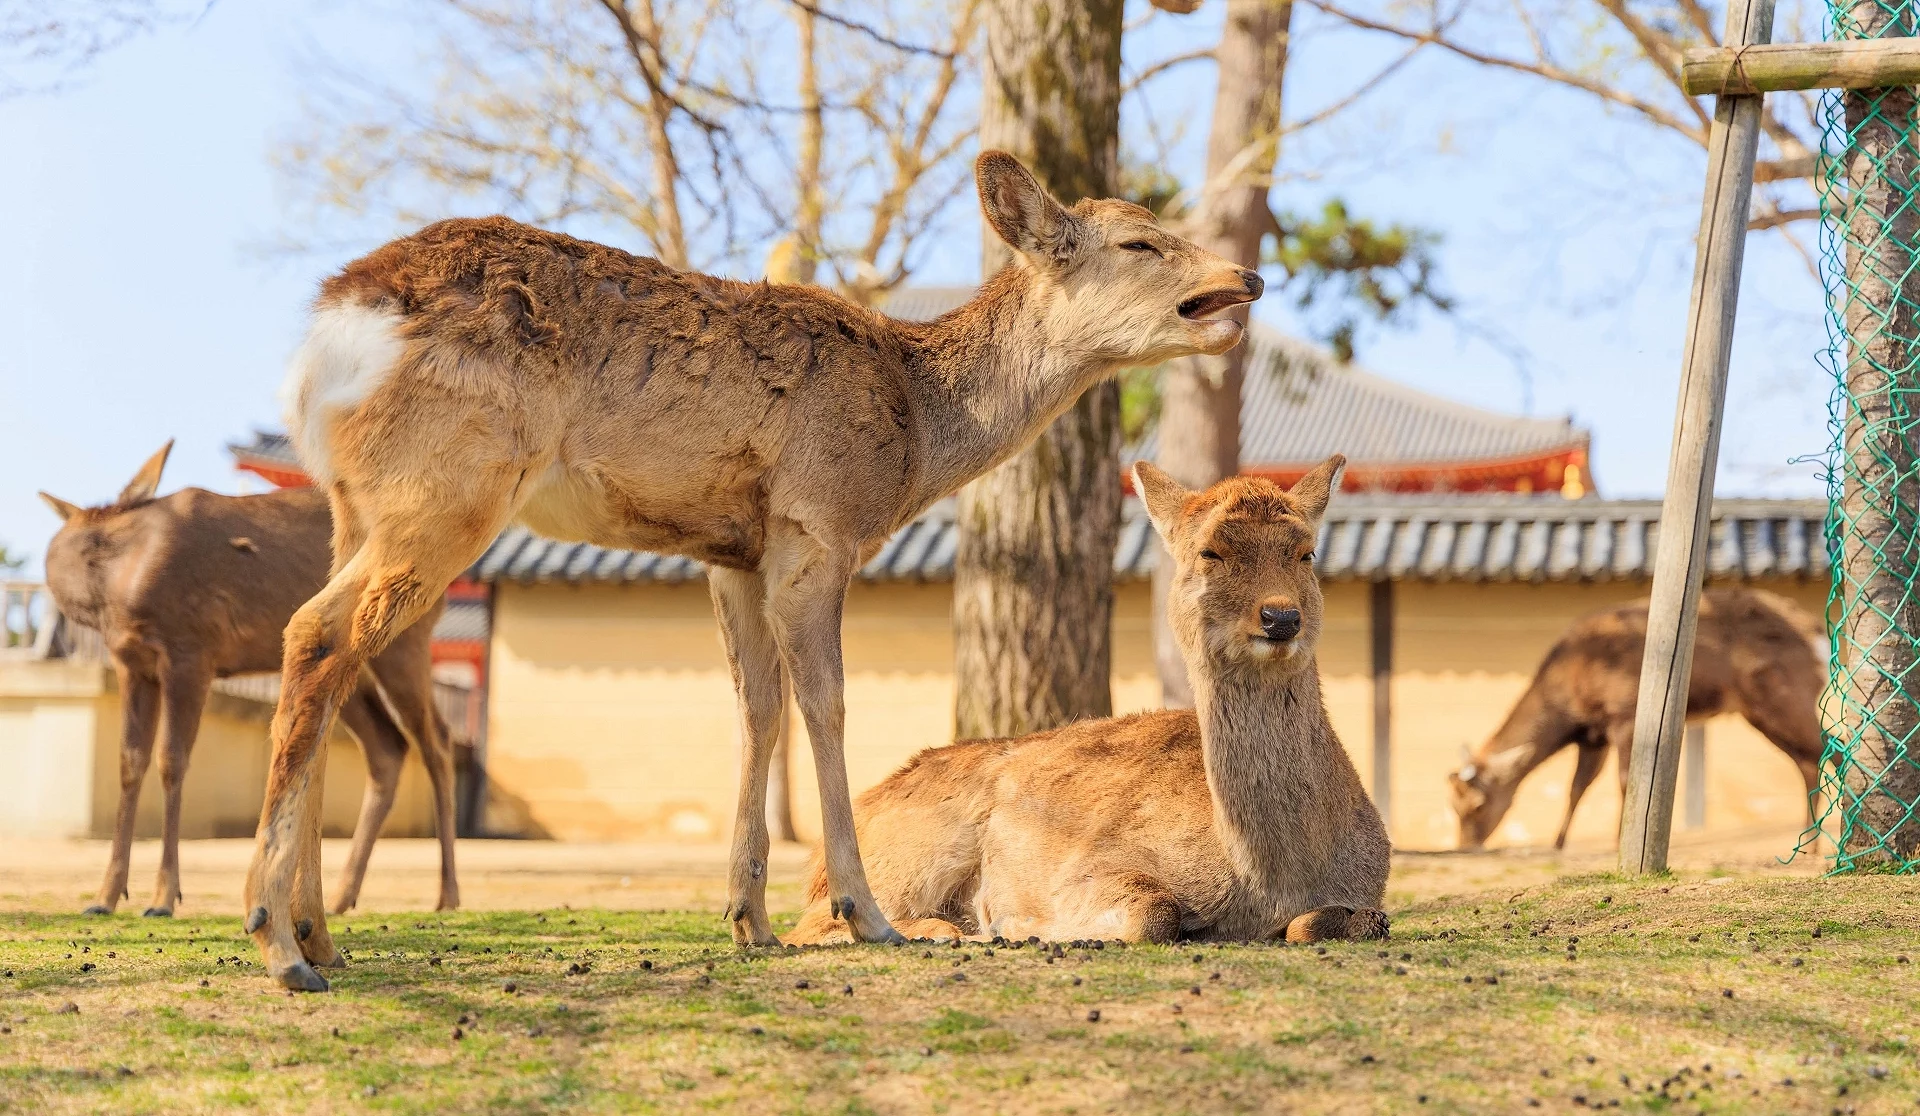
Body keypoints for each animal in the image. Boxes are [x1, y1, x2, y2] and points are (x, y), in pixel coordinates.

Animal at [38, 442, 459, 918]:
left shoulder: (191, 650)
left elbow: (172, 759)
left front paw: (164, 897)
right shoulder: (131, 662)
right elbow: (129, 761)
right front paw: (105, 896)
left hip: (407, 643)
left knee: (437, 741)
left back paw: (446, 894)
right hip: (354, 668)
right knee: (388, 746)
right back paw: (340, 896)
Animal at [244, 150, 1265, 989]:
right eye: (1140, 240)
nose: (1246, 277)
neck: (915, 432)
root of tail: (327, 337)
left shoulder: (730, 551)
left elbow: (756, 710)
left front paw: (749, 922)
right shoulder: (817, 523)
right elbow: (827, 705)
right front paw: (868, 916)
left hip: (356, 505)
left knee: (333, 657)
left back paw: (323, 934)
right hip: (453, 482)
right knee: (316, 632)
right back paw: (280, 941)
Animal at [787, 458, 1391, 946]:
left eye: (1307, 552)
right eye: (1209, 550)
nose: (1280, 617)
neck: (1266, 879)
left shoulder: (1371, 887)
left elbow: (1338, 922)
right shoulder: (1090, 866)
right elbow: (1156, 912)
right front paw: (1023, 925)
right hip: (910, 851)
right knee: (819, 920)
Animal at [1448, 587, 1826, 850]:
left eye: (1477, 805)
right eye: (1453, 806)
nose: (1467, 846)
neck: (1570, 698)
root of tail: (1816, 633)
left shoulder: (1624, 713)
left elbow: (1626, 781)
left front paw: (1618, 842)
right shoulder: (1593, 735)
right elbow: (1577, 787)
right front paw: (1558, 844)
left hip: (1784, 695)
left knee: (1826, 750)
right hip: (1763, 712)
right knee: (1809, 761)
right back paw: (1810, 846)